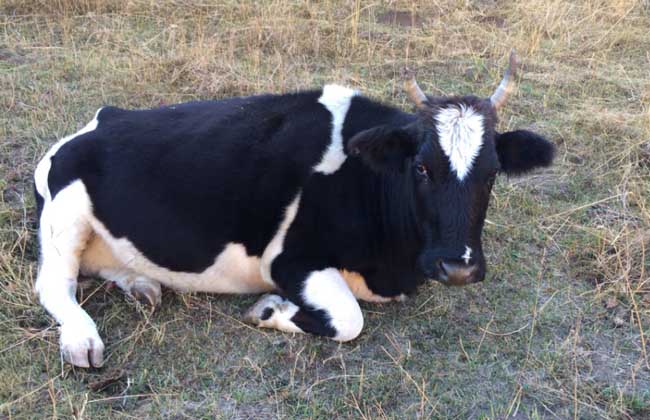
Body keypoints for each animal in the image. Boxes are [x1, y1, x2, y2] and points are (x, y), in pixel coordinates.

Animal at [33, 50, 552, 368]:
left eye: (492, 173)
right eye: (421, 168)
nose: (458, 267)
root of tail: (100, 119)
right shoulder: (289, 260)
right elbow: (348, 320)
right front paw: (269, 309)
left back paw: (142, 286)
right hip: (66, 216)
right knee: (55, 284)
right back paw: (81, 339)